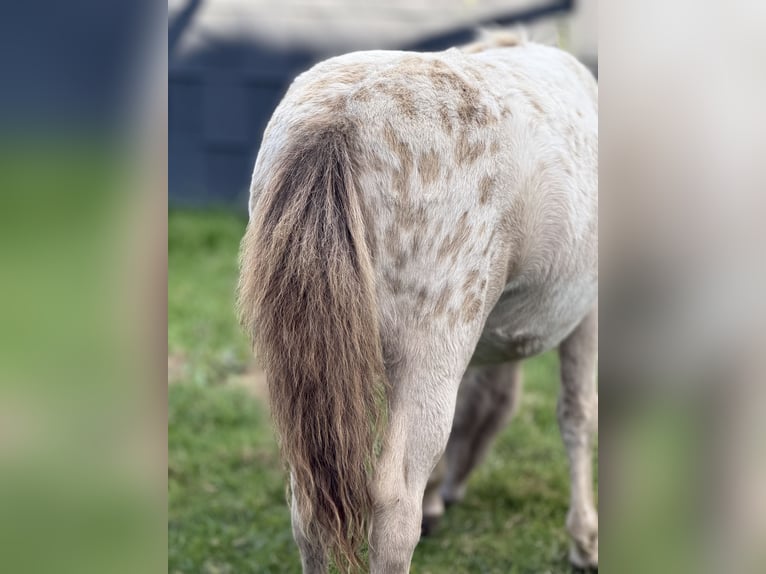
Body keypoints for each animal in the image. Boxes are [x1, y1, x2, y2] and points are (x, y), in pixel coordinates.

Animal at [238, 29, 598, 573]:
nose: (453, 492)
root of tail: (340, 118)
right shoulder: (587, 316)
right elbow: (577, 414)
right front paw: (584, 539)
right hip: (430, 353)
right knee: (392, 507)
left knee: (307, 506)